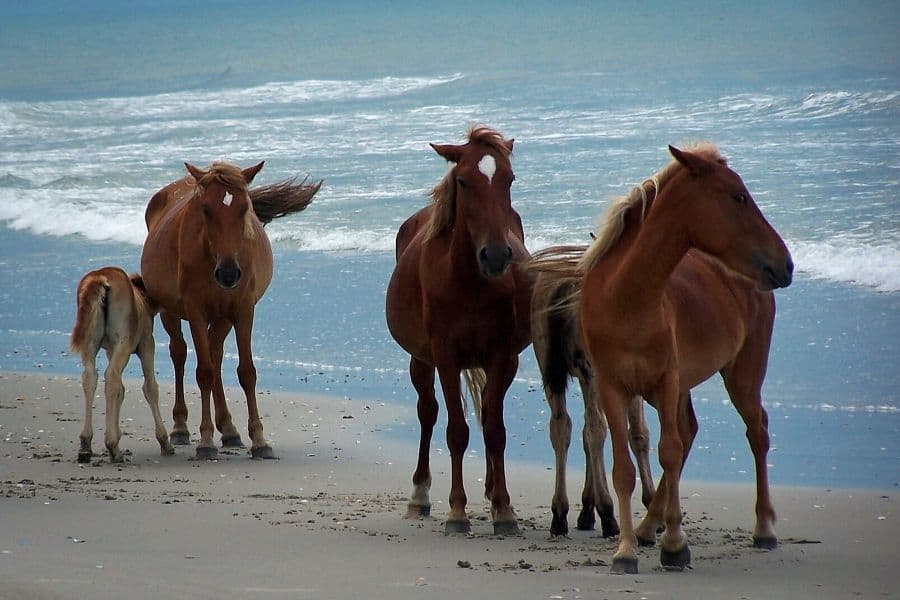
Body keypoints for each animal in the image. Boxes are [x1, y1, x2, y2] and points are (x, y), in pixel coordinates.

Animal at [70, 267, 174, 463]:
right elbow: (150, 387)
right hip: (124, 341)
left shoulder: (110, 349)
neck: (143, 298)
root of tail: (99, 279)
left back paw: (86, 444)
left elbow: (121, 390)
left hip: (90, 342)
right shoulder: (146, 343)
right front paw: (165, 442)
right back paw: (112, 447)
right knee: (111, 376)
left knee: (91, 376)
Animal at [140, 161, 319, 459]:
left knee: (215, 355)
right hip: (171, 312)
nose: (228, 274)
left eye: (245, 208)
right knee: (180, 353)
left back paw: (229, 430)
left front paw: (259, 440)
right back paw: (180, 427)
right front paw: (205, 441)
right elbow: (203, 373)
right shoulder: (196, 310)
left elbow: (246, 372)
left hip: (223, 317)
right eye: (205, 209)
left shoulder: (243, 308)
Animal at [385, 126, 532, 535]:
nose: (496, 256)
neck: (469, 282)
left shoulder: (501, 355)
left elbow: (494, 429)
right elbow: (455, 431)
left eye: (509, 179)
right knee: (428, 412)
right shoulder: (445, 356)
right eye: (464, 181)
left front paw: (503, 509)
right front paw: (456, 511)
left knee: (487, 414)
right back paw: (419, 497)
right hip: (420, 360)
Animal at [530, 253, 655, 538]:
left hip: (550, 368)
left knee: (562, 426)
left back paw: (560, 513)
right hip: (594, 372)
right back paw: (608, 514)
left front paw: (587, 510)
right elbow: (638, 434)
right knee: (596, 427)